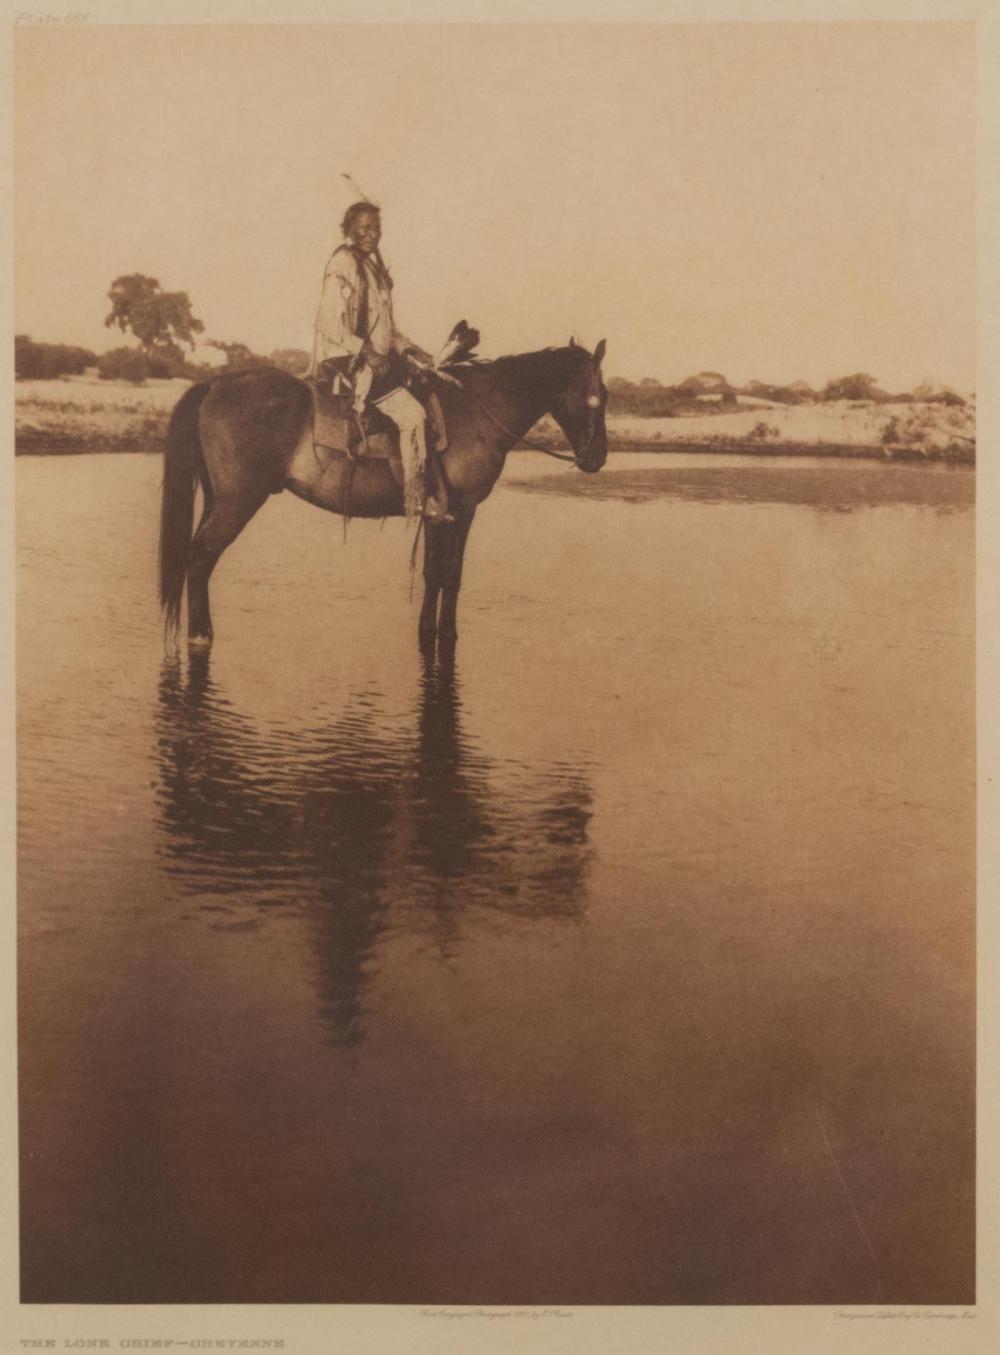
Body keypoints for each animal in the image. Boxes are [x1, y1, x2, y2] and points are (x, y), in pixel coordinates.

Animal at [159, 344, 604, 650]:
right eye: (595, 397)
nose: (596, 458)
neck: (479, 413)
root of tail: (217, 383)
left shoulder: (437, 514)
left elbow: (433, 573)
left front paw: (428, 630)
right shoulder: (463, 511)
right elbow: (451, 574)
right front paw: (449, 634)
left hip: (217, 498)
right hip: (237, 503)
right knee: (201, 558)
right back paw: (201, 635)